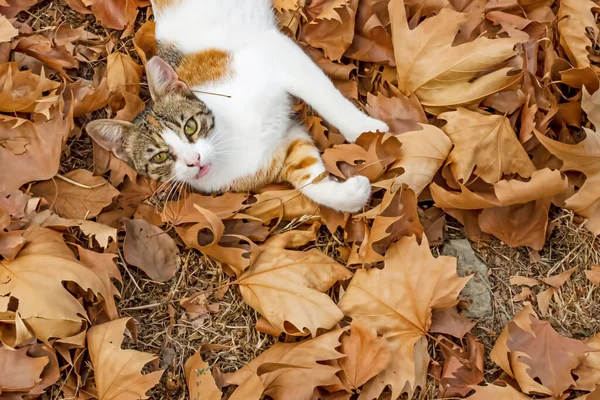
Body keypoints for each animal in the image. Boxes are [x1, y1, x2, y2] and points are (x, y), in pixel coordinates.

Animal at [88, 0, 390, 212]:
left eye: (190, 127)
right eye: (160, 157)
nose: (194, 161)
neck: (228, 145)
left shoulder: (272, 51)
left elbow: (325, 96)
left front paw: (368, 131)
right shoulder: (284, 145)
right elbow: (307, 176)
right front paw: (349, 195)